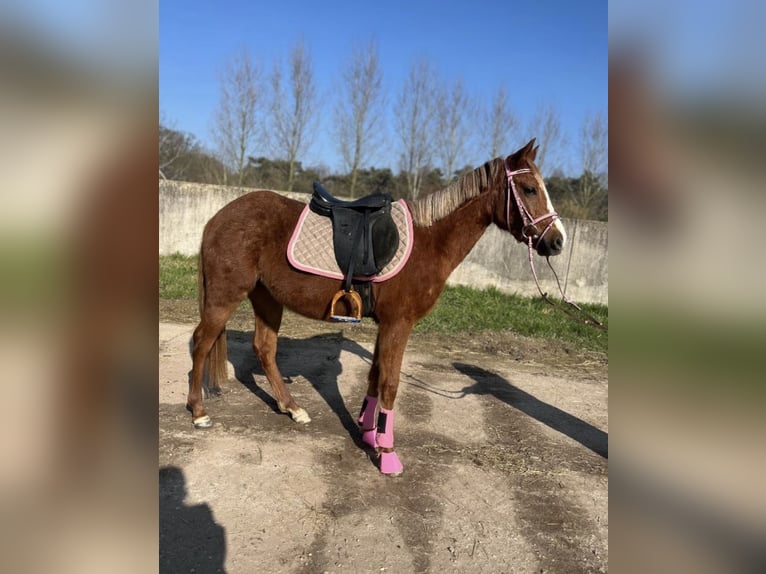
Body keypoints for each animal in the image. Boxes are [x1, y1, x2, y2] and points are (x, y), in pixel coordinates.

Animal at [189, 140, 568, 476]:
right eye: (529, 189)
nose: (557, 241)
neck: (430, 241)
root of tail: (216, 219)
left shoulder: (386, 325)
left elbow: (374, 376)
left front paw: (369, 433)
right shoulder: (399, 323)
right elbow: (390, 382)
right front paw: (387, 454)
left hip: (266, 299)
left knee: (264, 349)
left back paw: (292, 408)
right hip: (225, 297)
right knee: (202, 343)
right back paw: (198, 411)